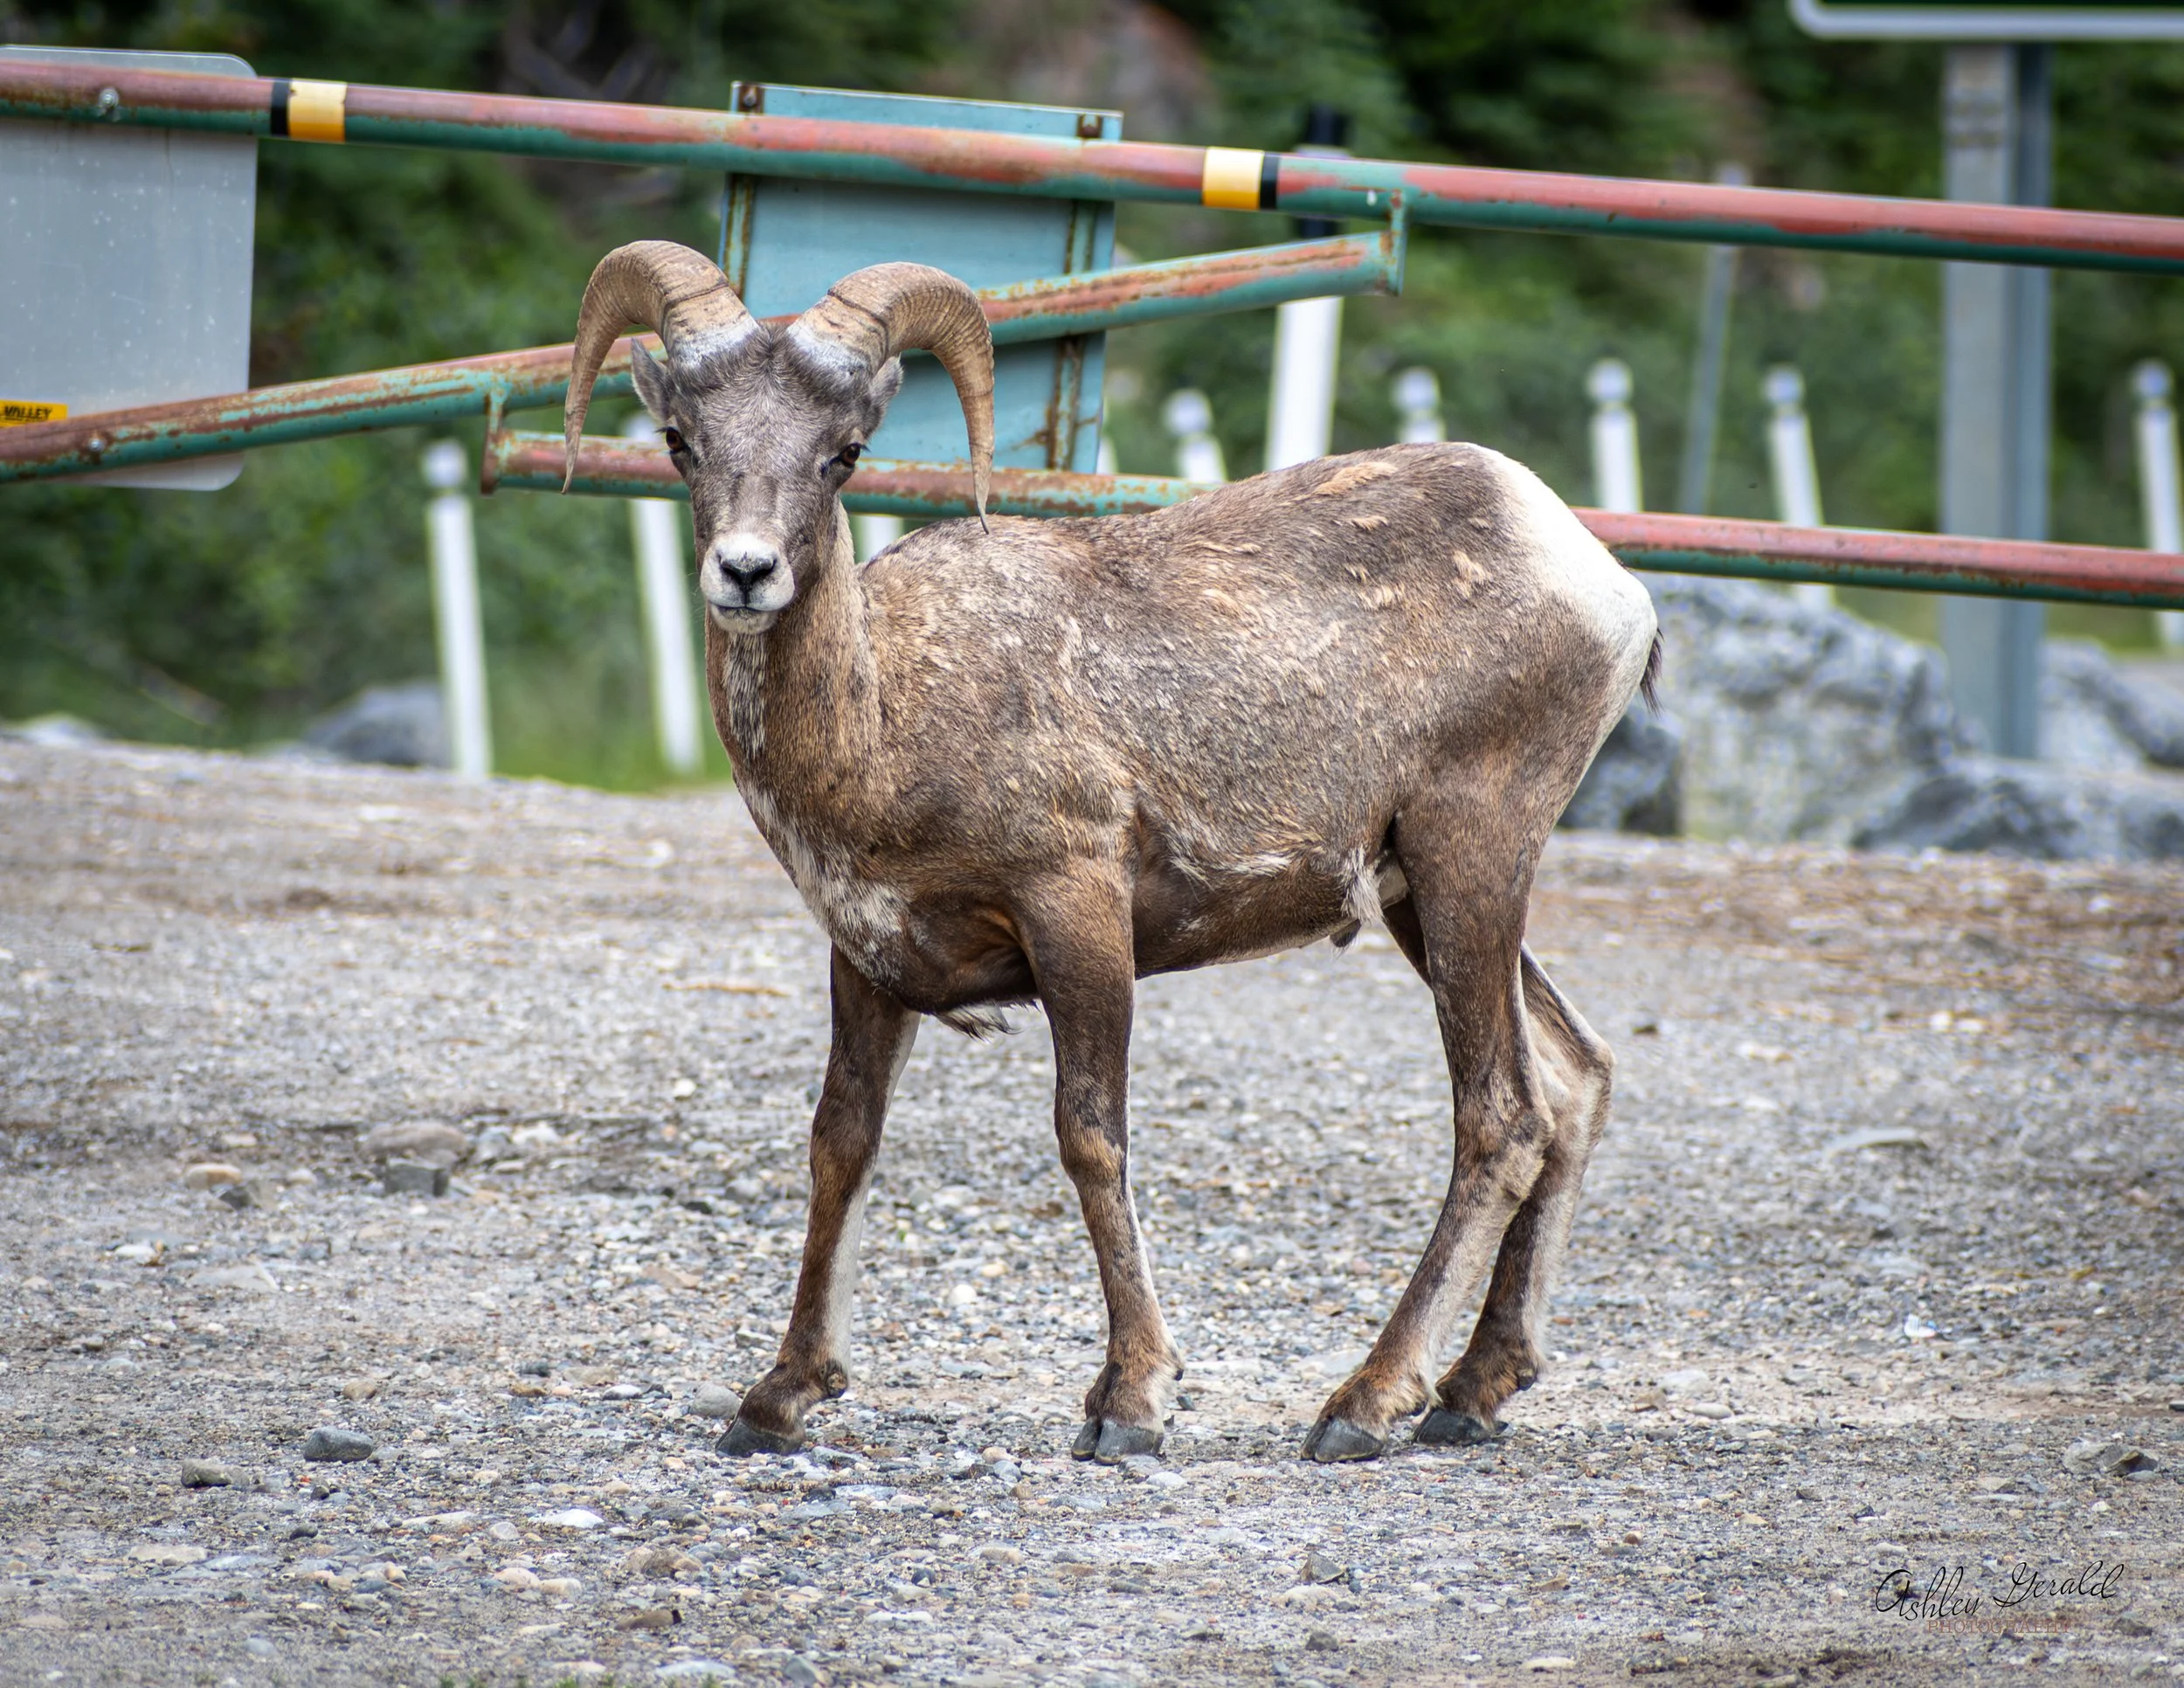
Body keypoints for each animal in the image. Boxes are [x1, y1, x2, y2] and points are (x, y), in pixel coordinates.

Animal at [561, 240, 1660, 1465]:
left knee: (1502, 1118)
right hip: (1422, 897)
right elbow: (841, 1145)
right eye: (681, 441)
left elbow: (1090, 1141)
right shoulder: (868, 963)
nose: (746, 573)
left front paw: (1130, 1402)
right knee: (1573, 1079)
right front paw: (778, 1398)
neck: (888, 719)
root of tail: (1596, 577)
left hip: (1470, 858)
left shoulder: (1076, 920)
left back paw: (1365, 1406)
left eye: (841, 453)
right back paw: (1470, 1392)